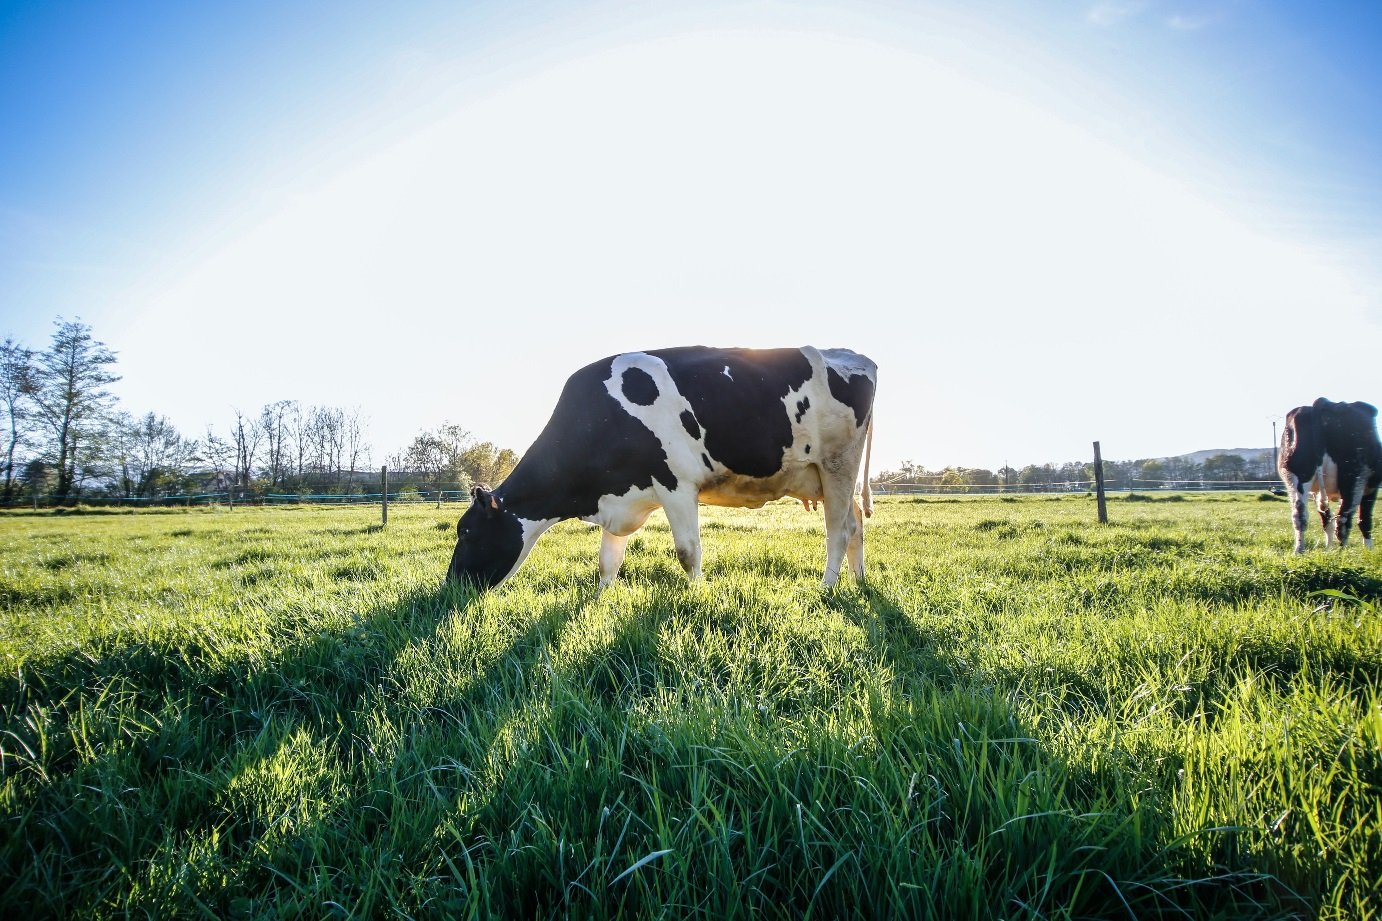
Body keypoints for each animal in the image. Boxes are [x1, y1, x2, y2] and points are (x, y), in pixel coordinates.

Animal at [447, 344, 878, 589]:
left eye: (465, 531)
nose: (451, 586)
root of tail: (853, 356)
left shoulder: (676, 484)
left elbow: (688, 552)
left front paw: (698, 595)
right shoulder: (620, 495)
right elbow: (607, 561)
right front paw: (600, 598)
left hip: (837, 464)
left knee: (838, 531)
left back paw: (827, 588)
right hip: (825, 476)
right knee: (855, 523)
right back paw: (858, 581)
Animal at [1276, 395, 1376, 553]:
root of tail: (1323, 403)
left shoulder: (1316, 492)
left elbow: (1326, 519)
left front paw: (1328, 548)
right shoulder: (1372, 486)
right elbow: (1364, 520)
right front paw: (1369, 550)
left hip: (1296, 476)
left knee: (1300, 515)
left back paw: (1299, 550)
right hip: (1353, 477)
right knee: (1343, 519)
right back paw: (1343, 552)